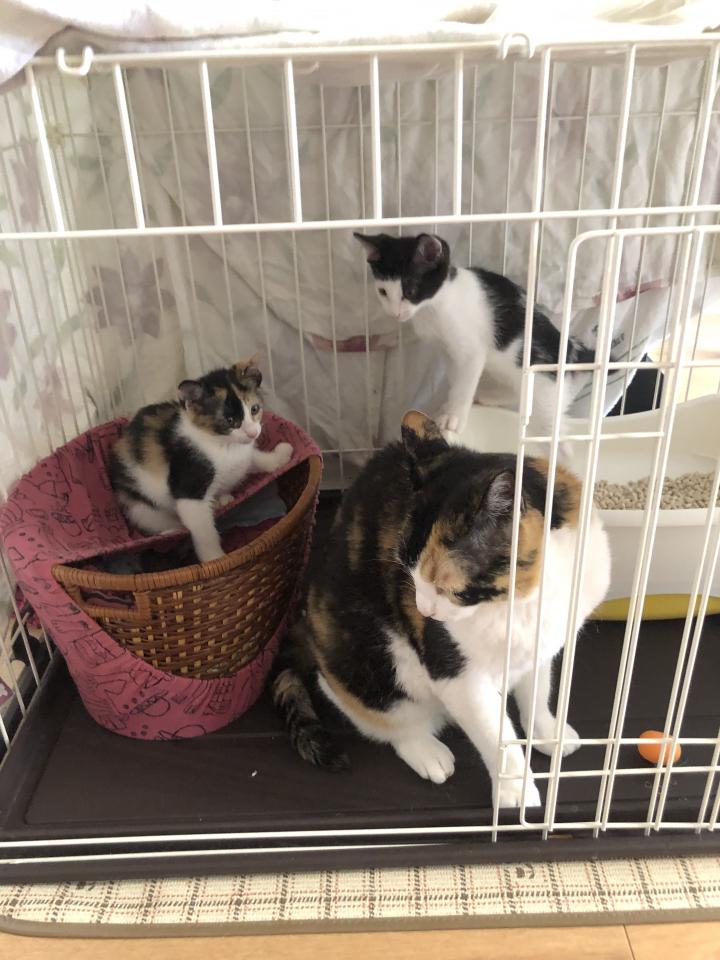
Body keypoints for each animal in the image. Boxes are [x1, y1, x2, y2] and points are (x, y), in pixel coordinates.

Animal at [108, 361, 292, 564]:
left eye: (254, 409)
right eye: (230, 420)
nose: (253, 433)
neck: (223, 445)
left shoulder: (243, 455)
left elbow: (255, 459)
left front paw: (281, 455)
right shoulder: (189, 480)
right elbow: (203, 529)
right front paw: (215, 558)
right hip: (139, 507)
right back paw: (171, 531)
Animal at [273, 410, 610, 809]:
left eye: (448, 589)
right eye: (407, 571)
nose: (423, 608)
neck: (522, 603)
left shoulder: (542, 646)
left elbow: (538, 692)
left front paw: (546, 733)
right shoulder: (455, 672)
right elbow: (495, 735)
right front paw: (515, 790)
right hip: (365, 662)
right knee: (369, 707)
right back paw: (427, 752)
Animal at [354, 231, 598, 446]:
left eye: (411, 291)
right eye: (383, 292)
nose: (395, 314)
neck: (433, 306)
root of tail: (574, 349)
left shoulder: (470, 352)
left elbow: (464, 382)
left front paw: (453, 417)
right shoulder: (445, 349)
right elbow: (456, 378)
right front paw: (449, 407)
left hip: (545, 392)